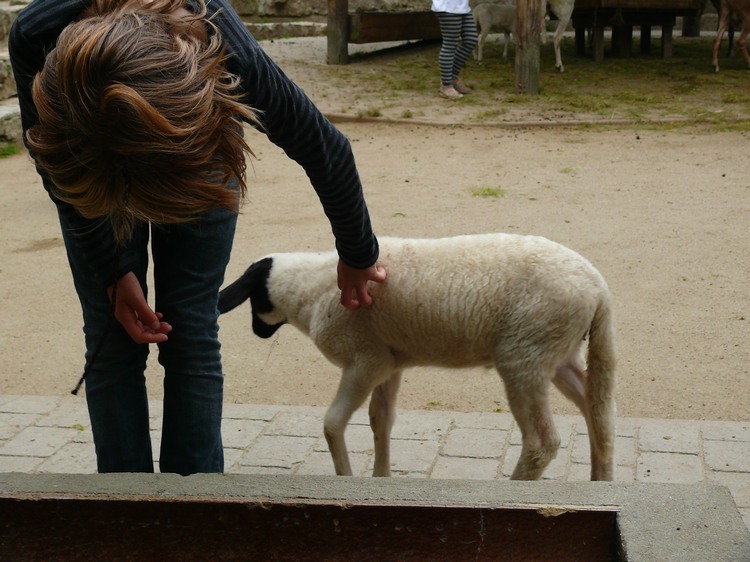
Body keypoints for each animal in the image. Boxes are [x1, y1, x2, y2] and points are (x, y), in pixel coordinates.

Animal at [220, 234, 620, 480]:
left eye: (253, 300)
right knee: (598, 415)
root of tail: (600, 291)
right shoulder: (388, 361)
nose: (258, 333)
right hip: (556, 353)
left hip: (525, 356)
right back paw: (599, 483)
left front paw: (346, 478)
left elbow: (332, 423)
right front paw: (380, 479)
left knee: (542, 443)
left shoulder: (365, 361)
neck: (309, 291)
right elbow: (380, 420)